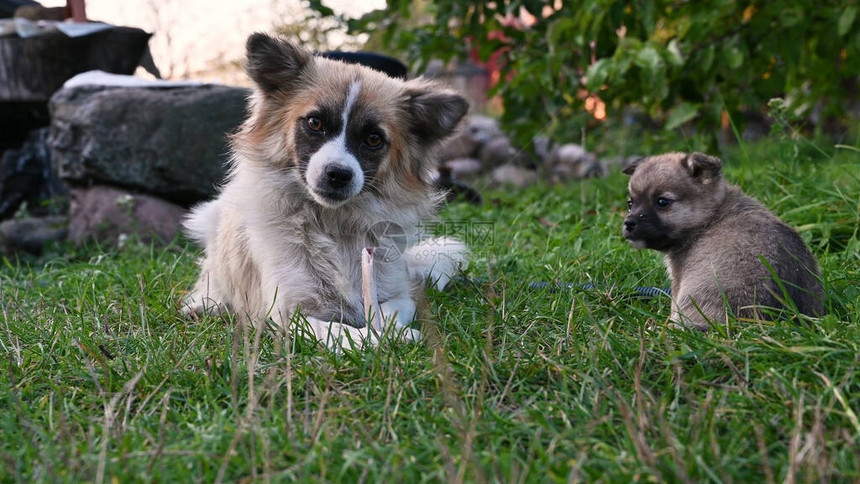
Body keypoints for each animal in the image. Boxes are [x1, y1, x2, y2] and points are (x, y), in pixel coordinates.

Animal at [182, 34, 474, 350]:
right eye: (315, 122)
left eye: (374, 139)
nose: (338, 174)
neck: (335, 222)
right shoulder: (286, 312)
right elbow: (335, 329)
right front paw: (367, 341)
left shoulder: (397, 293)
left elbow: (388, 313)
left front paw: (392, 333)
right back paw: (204, 304)